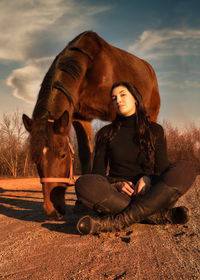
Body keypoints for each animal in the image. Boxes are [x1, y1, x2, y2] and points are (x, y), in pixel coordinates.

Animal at [22, 30, 159, 219]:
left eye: (63, 155)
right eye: (35, 159)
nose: (52, 210)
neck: (90, 68)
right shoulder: (81, 118)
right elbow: (86, 153)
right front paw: (80, 202)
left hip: (151, 114)